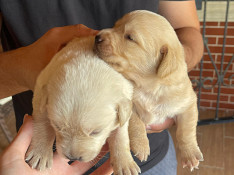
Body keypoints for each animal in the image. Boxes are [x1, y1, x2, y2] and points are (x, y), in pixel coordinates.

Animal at [25, 36, 140, 174]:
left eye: (96, 132)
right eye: (57, 127)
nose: (73, 157)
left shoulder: (126, 98)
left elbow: (120, 134)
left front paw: (124, 163)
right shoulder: (42, 86)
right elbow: (42, 121)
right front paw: (40, 153)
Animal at [94, 9, 204, 171]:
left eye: (130, 37)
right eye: (115, 25)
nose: (97, 36)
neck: (147, 86)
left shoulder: (187, 104)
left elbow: (186, 130)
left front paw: (190, 154)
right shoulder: (129, 106)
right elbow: (136, 122)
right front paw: (142, 146)